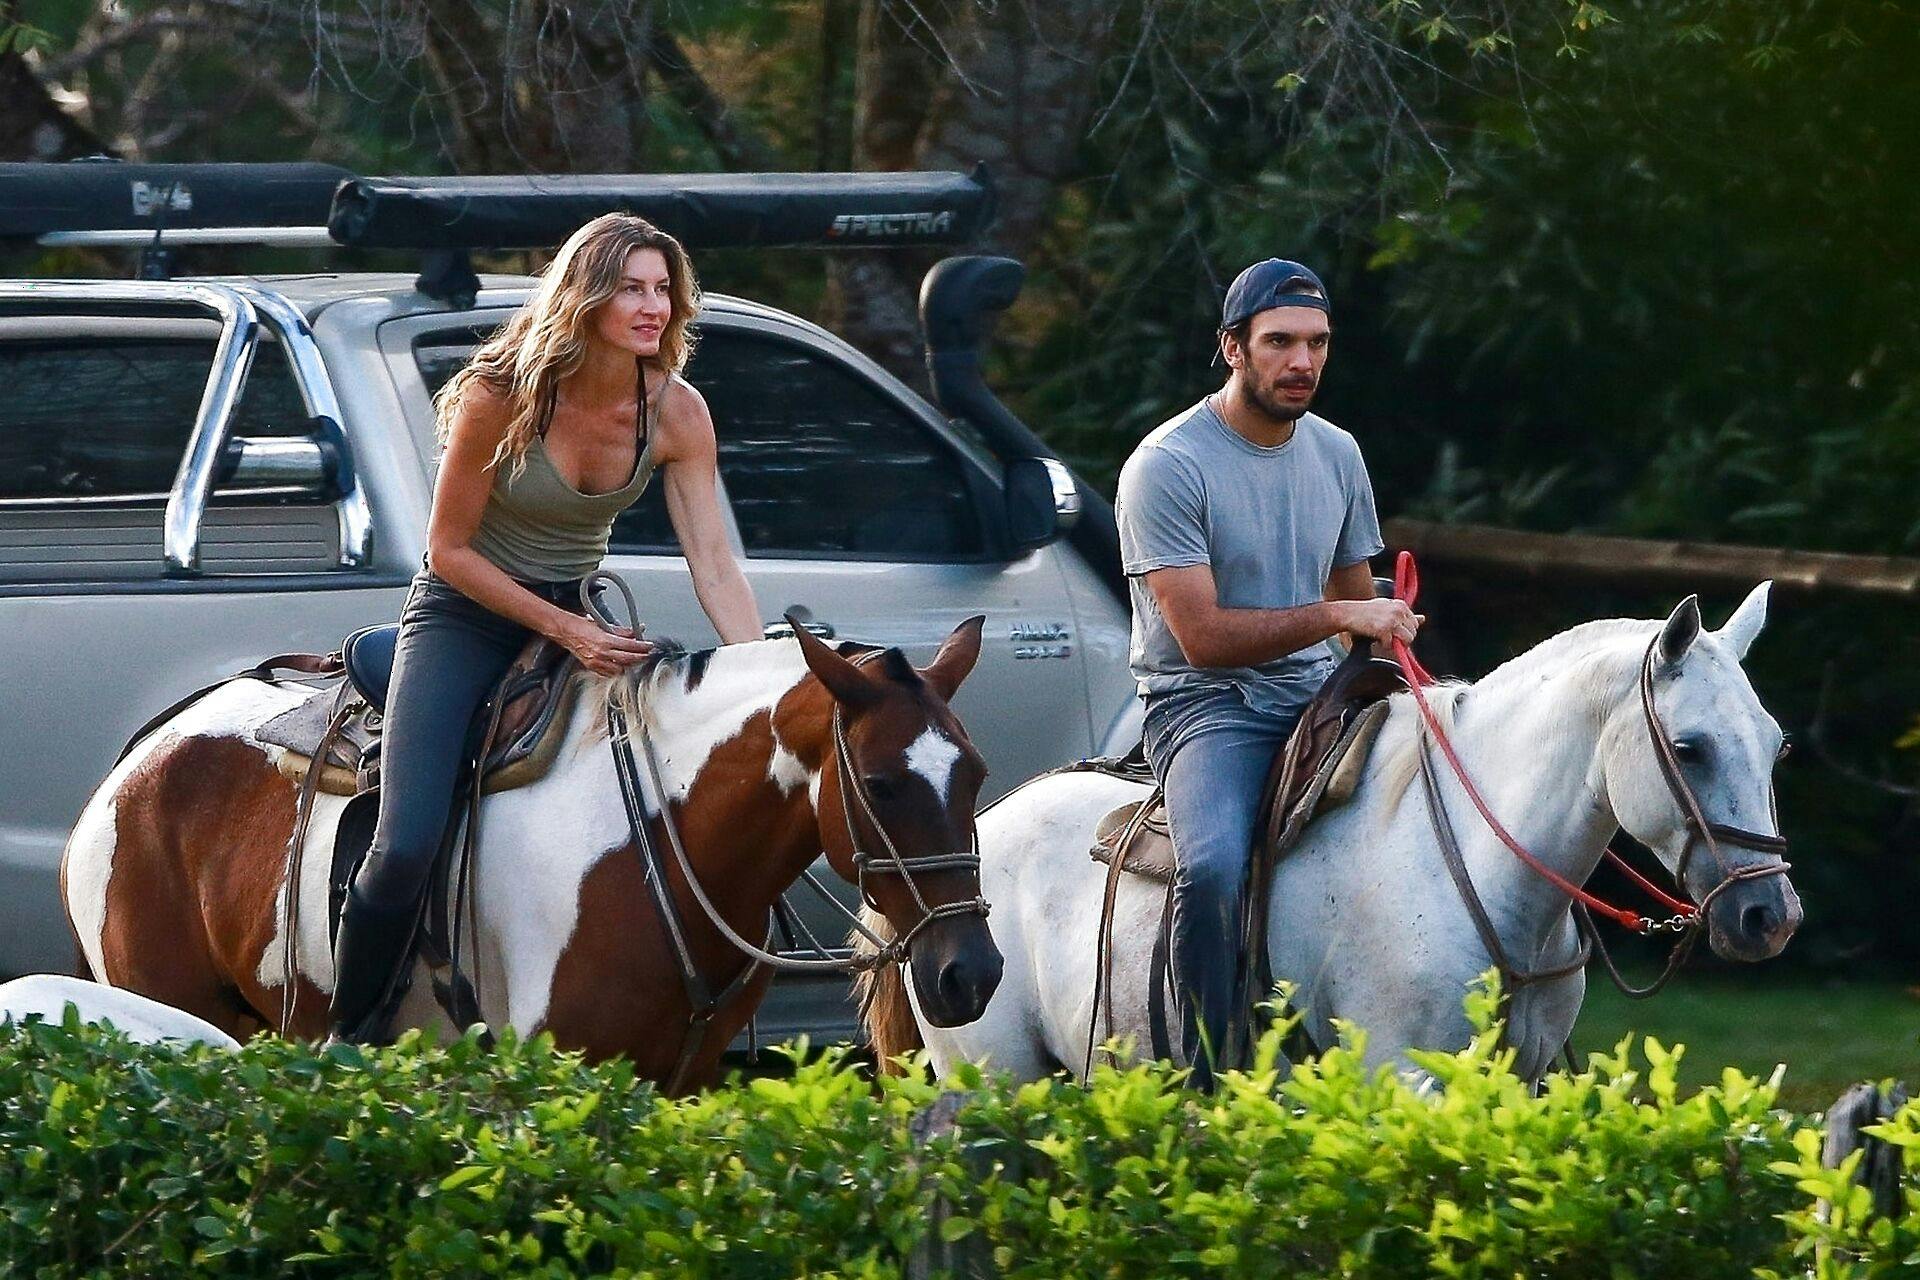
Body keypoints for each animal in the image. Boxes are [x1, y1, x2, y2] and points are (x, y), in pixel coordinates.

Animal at [60, 621, 998, 1090]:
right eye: (879, 784)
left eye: (977, 773)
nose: (972, 973)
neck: (661, 842)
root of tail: (137, 762)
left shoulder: (682, 1078)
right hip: (174, 1017)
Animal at [871, 587, 1797, 1082]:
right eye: (1690, 746)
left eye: (1776, 743)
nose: (1770, 918)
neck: (1473, 865)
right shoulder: (1404, 1076)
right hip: (993, 1077)